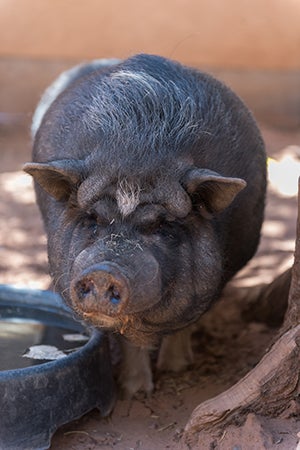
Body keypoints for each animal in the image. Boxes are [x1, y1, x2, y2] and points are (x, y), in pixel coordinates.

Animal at [24, 54, 268, 396]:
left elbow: (186, 321)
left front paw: (176, 368)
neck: (137, 153)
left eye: (163, 225)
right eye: (92, 219)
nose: (104, 271)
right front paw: (135, 389)